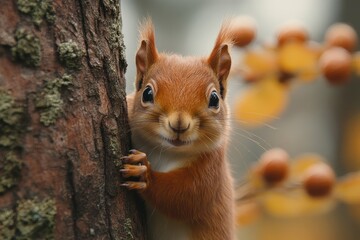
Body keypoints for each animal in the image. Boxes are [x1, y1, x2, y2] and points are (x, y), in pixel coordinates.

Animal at [122, 19, 236, 240]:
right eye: (147, 93)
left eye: (214, 99)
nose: (179, 124)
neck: (164, 152)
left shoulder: (210, 172)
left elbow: (184, 197)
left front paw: (144, 173)